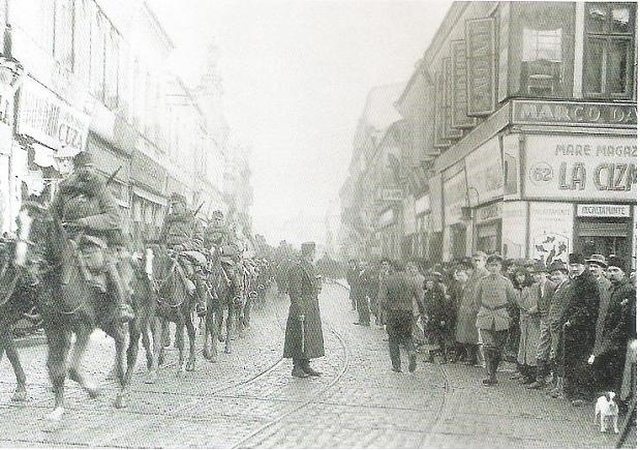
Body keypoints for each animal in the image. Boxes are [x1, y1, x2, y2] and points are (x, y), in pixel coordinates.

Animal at [12, 202, 140, 424]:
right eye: (18, 222)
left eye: (39, 225)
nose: (21, 263)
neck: (62, 279)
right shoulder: (53, 328)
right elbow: (55, 368)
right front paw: (58, 408)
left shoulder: (83, 328)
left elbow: (71, 367)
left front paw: (92, 389)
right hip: (107, 321)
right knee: (120, 338)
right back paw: (119, 376)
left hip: (138, 318)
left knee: (131, 350)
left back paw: (123, 393)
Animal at [146, 246, 199, 380]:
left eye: (157, 260)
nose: (150, 284)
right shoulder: (158, 318)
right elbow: (157, 343)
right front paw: (153, 372)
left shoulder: (180, 319)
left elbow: (181, 343)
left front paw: (180, 369)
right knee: (192, 332)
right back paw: (191, 362)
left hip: (188, 314)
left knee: (193, 332)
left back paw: (190, 363)